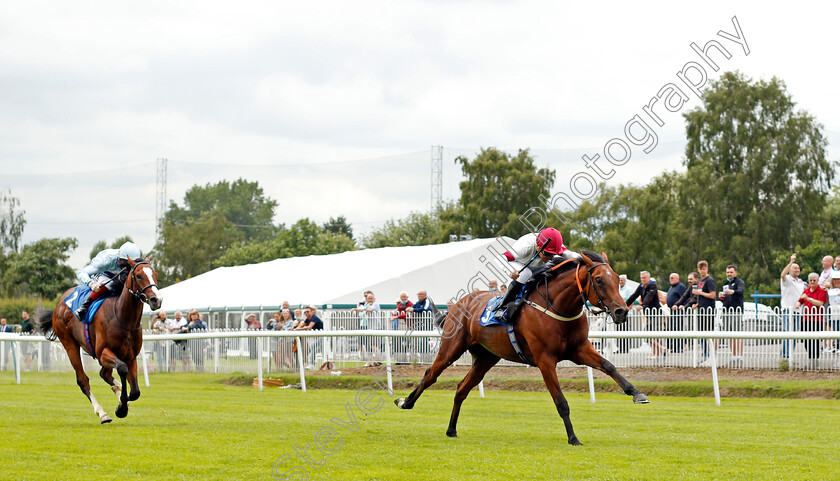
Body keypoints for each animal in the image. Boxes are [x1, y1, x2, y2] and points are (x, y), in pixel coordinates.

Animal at [33, 256, 161, 422]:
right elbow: (122, 369)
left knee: (104, 374)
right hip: (70, 345)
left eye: (155, 274)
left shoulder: (131, 356)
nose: (156, 300)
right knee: (83, 380)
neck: (121, 317)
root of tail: (60, 302)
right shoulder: (103, 352)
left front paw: (122, 401)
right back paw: (102, 413)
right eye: (139, 276)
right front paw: (121, 408)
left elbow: (135, 392)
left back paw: (117, 391)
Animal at [396, 249, 648, 444]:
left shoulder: (579, 349)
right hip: (452, 348)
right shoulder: (545, 360)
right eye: (599, 280)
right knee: (430, 375)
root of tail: (458, 304)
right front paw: (573, 438)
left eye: (616, 279)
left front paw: (637, 393)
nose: (621, 311)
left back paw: (451, 429)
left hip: (486, 358)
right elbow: (561, 402)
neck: (557, 306)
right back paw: (405, 402)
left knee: (461, 389)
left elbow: (609, 365)